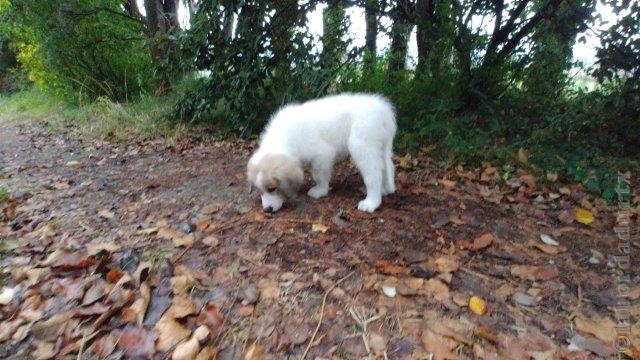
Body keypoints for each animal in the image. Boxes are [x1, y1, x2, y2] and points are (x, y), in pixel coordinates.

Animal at [245, 91, 396, 212]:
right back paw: (385, 190)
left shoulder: (322, 154)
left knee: (373, 174)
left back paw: (371, 203)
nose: (267, 210)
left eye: (272, 189)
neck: (284, 138)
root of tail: (383, 109)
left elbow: (318, 175)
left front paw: (320, 191)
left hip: (361, 145)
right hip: (379, 146)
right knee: (386, 167)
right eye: (259, 190)